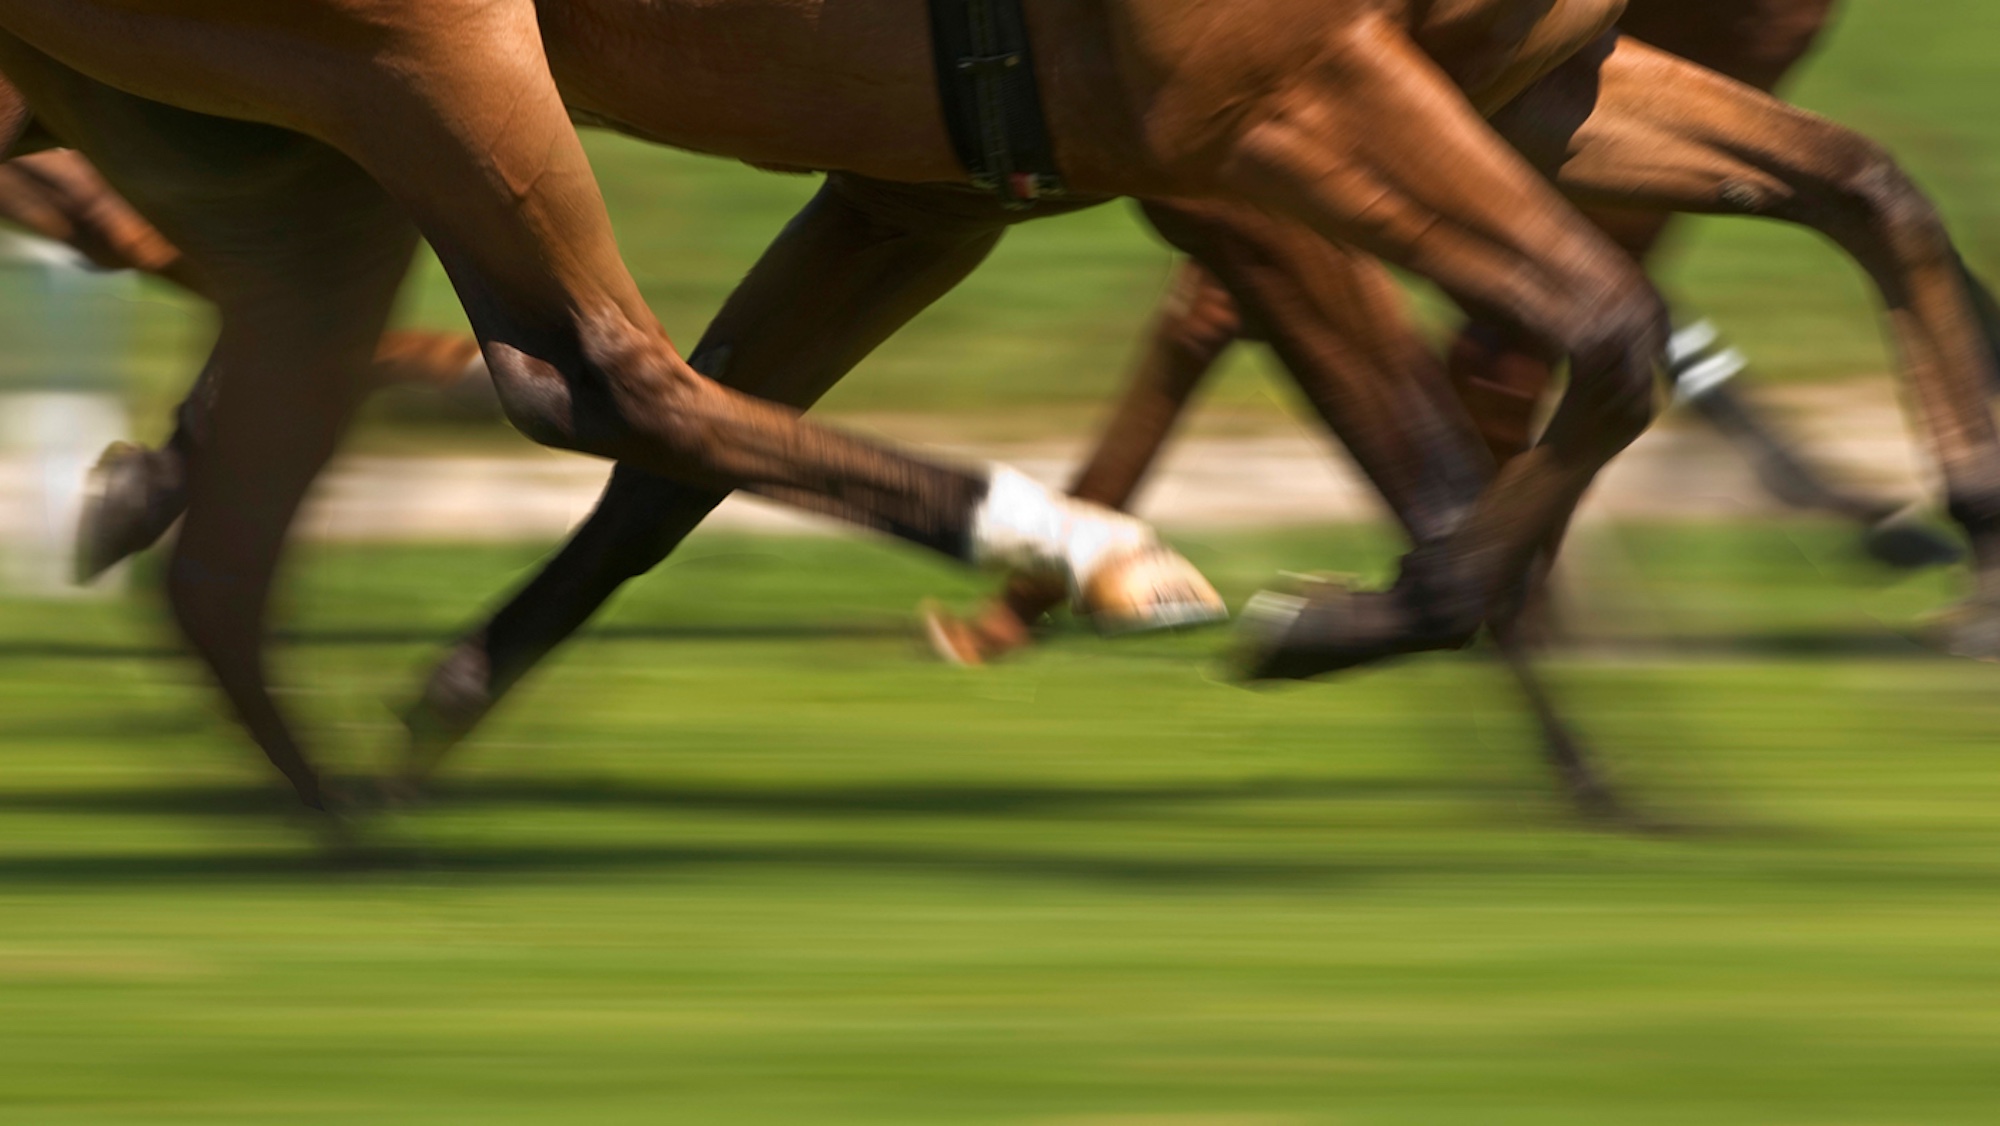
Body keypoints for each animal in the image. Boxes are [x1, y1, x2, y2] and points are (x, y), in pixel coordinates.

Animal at [0, 0, 1994, 817]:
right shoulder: (1254, 121)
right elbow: (1559, 367)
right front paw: (1352, 623)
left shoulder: (1506, 84)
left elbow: (1860, 186)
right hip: (431, 61)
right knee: (589, 366)